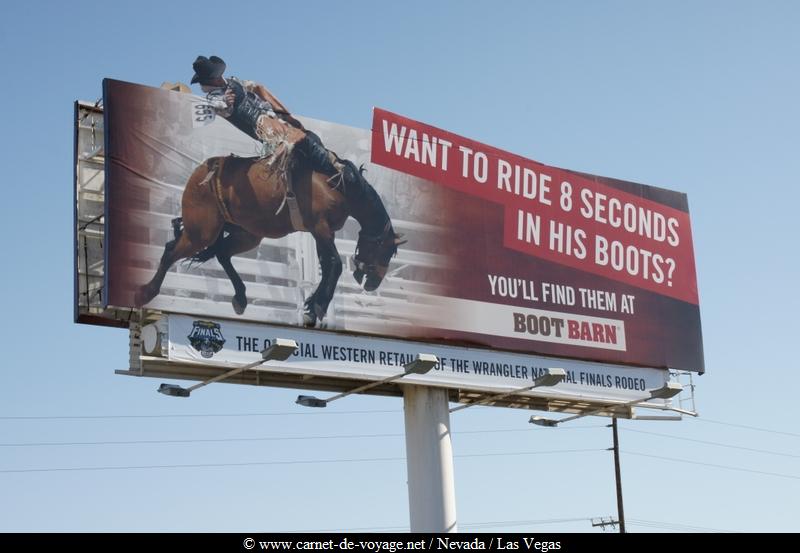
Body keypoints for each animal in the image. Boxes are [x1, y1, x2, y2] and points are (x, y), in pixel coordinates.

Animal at [135, 149, 406, 326]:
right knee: (171, 250)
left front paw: (312, 306)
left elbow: (328, 265)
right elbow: (335, 265)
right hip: (201, 231)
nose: (373, 284)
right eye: (383, 249)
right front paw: (317, 306)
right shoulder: (320, 227)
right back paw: (146, 292)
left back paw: (240, 297)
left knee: (221, 253)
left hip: (246, 233)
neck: (338, 183)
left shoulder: (320, 232)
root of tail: (202, 171)